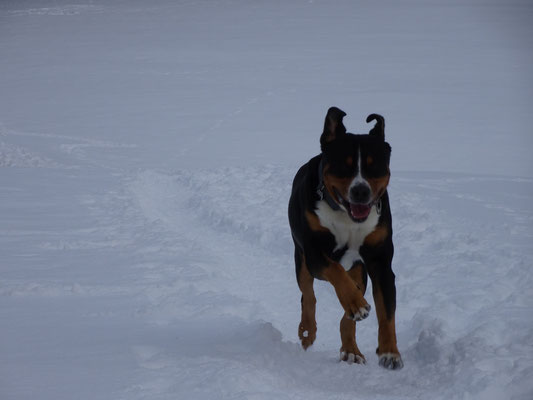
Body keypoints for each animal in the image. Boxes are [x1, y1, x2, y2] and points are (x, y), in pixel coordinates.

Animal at [288, 106, 402, 368]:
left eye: (374, 166)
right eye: (344, 165)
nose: (360, 191)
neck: (345, 216)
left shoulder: (380, 262)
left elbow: (387, 311)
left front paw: (390, 352)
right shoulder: (314, 252)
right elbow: (335, 271)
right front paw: (355, 303)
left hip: (359, 270)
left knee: (346, 315)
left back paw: (351, 350)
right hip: (301, 259)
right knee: (308, 296)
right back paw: (308, 330)